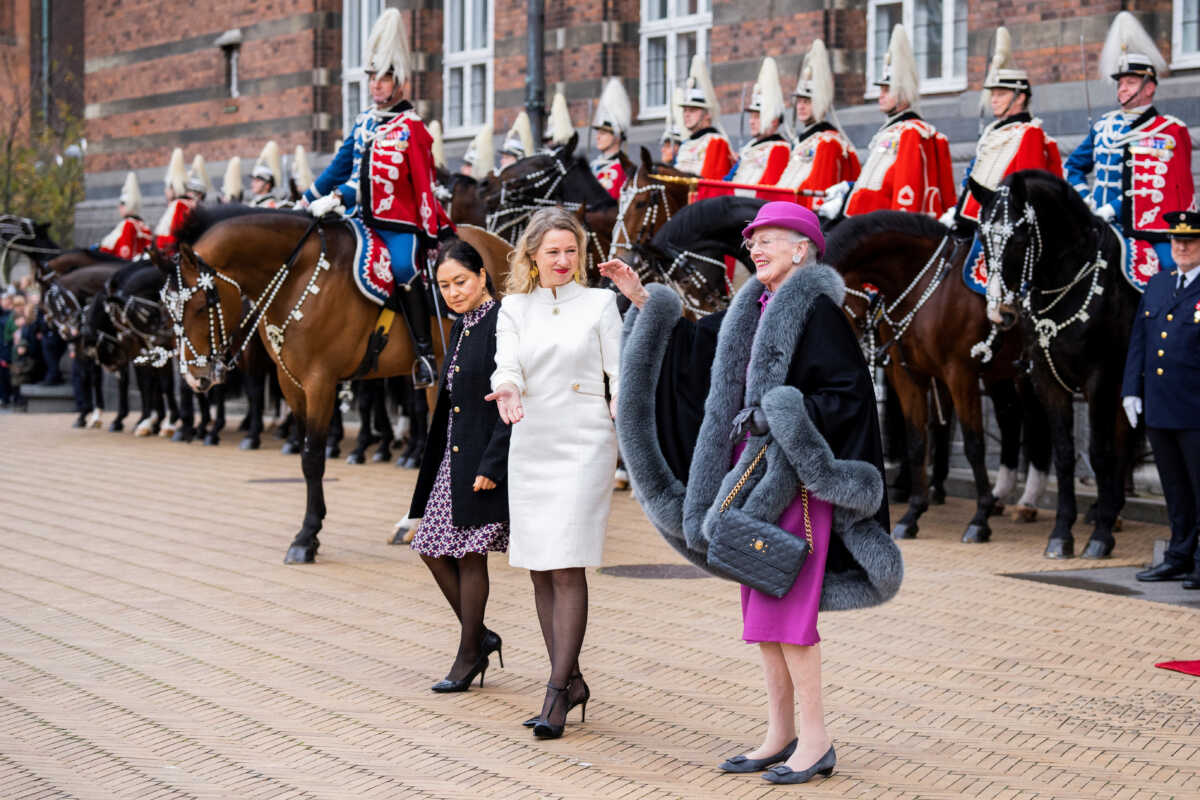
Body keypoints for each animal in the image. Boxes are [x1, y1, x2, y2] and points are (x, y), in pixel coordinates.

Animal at [160, 209, 511, 566]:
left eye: (201, 307)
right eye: (169, 311)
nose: (196, 377)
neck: (298, 276)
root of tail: (499, 242)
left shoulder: (320, 381)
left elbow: (313, 457)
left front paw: (306, 536)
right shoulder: (291, 383)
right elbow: (304, 454)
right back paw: (412, 523)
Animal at [825, 211, 1051, 544]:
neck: (921, 287)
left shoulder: (960, 374)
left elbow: (973, 444)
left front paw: (979, 519)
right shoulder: (907, 375)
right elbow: (918, 441)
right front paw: (913, 514)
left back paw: (1032, 503)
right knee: (1011, 419)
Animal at [974, 169, 1132, 556]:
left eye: (1018, 238)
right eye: (982, 236)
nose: (1000, 314)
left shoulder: (1099, 378)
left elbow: (1098, 452)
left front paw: (1100, 537)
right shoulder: (1046, 380)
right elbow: (1063, 454)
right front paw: (1062, 533)